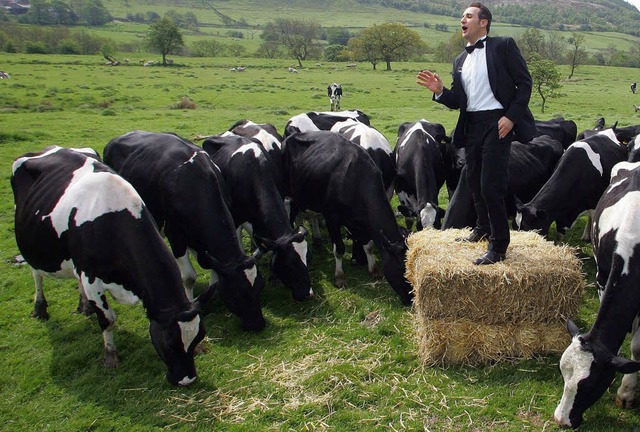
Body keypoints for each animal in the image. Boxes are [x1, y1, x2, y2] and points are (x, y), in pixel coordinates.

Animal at [10, 147, 210, 386]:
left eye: (198, 338)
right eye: (169, 343)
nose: (187, 380)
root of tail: (47, 149)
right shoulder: (90, 276)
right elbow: (107, 319)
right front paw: (111, 357)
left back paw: (84, 306)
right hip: (31, 240)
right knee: (36, 273)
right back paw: (40, 308)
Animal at [199, 134, 312, 300]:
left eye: (308, 259)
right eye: (288, 263)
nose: (307, 294)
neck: (255, 171)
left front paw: (273, 276)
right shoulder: (235, 217)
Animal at [282, 130, 412, 306]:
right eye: (401, 269)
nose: (411, 298)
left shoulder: (362, 224)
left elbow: (368, 246)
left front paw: (373, 270)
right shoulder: (332, 217)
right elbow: (339, 249)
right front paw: (339, 278)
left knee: (312, 215)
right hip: (290, 191)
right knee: (298, 213)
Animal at [552, 159, 640, 428]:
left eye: (588, 384)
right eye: (562, 372)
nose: (561, 420)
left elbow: (637, 347)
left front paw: (626, 393)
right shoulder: (603, 279)